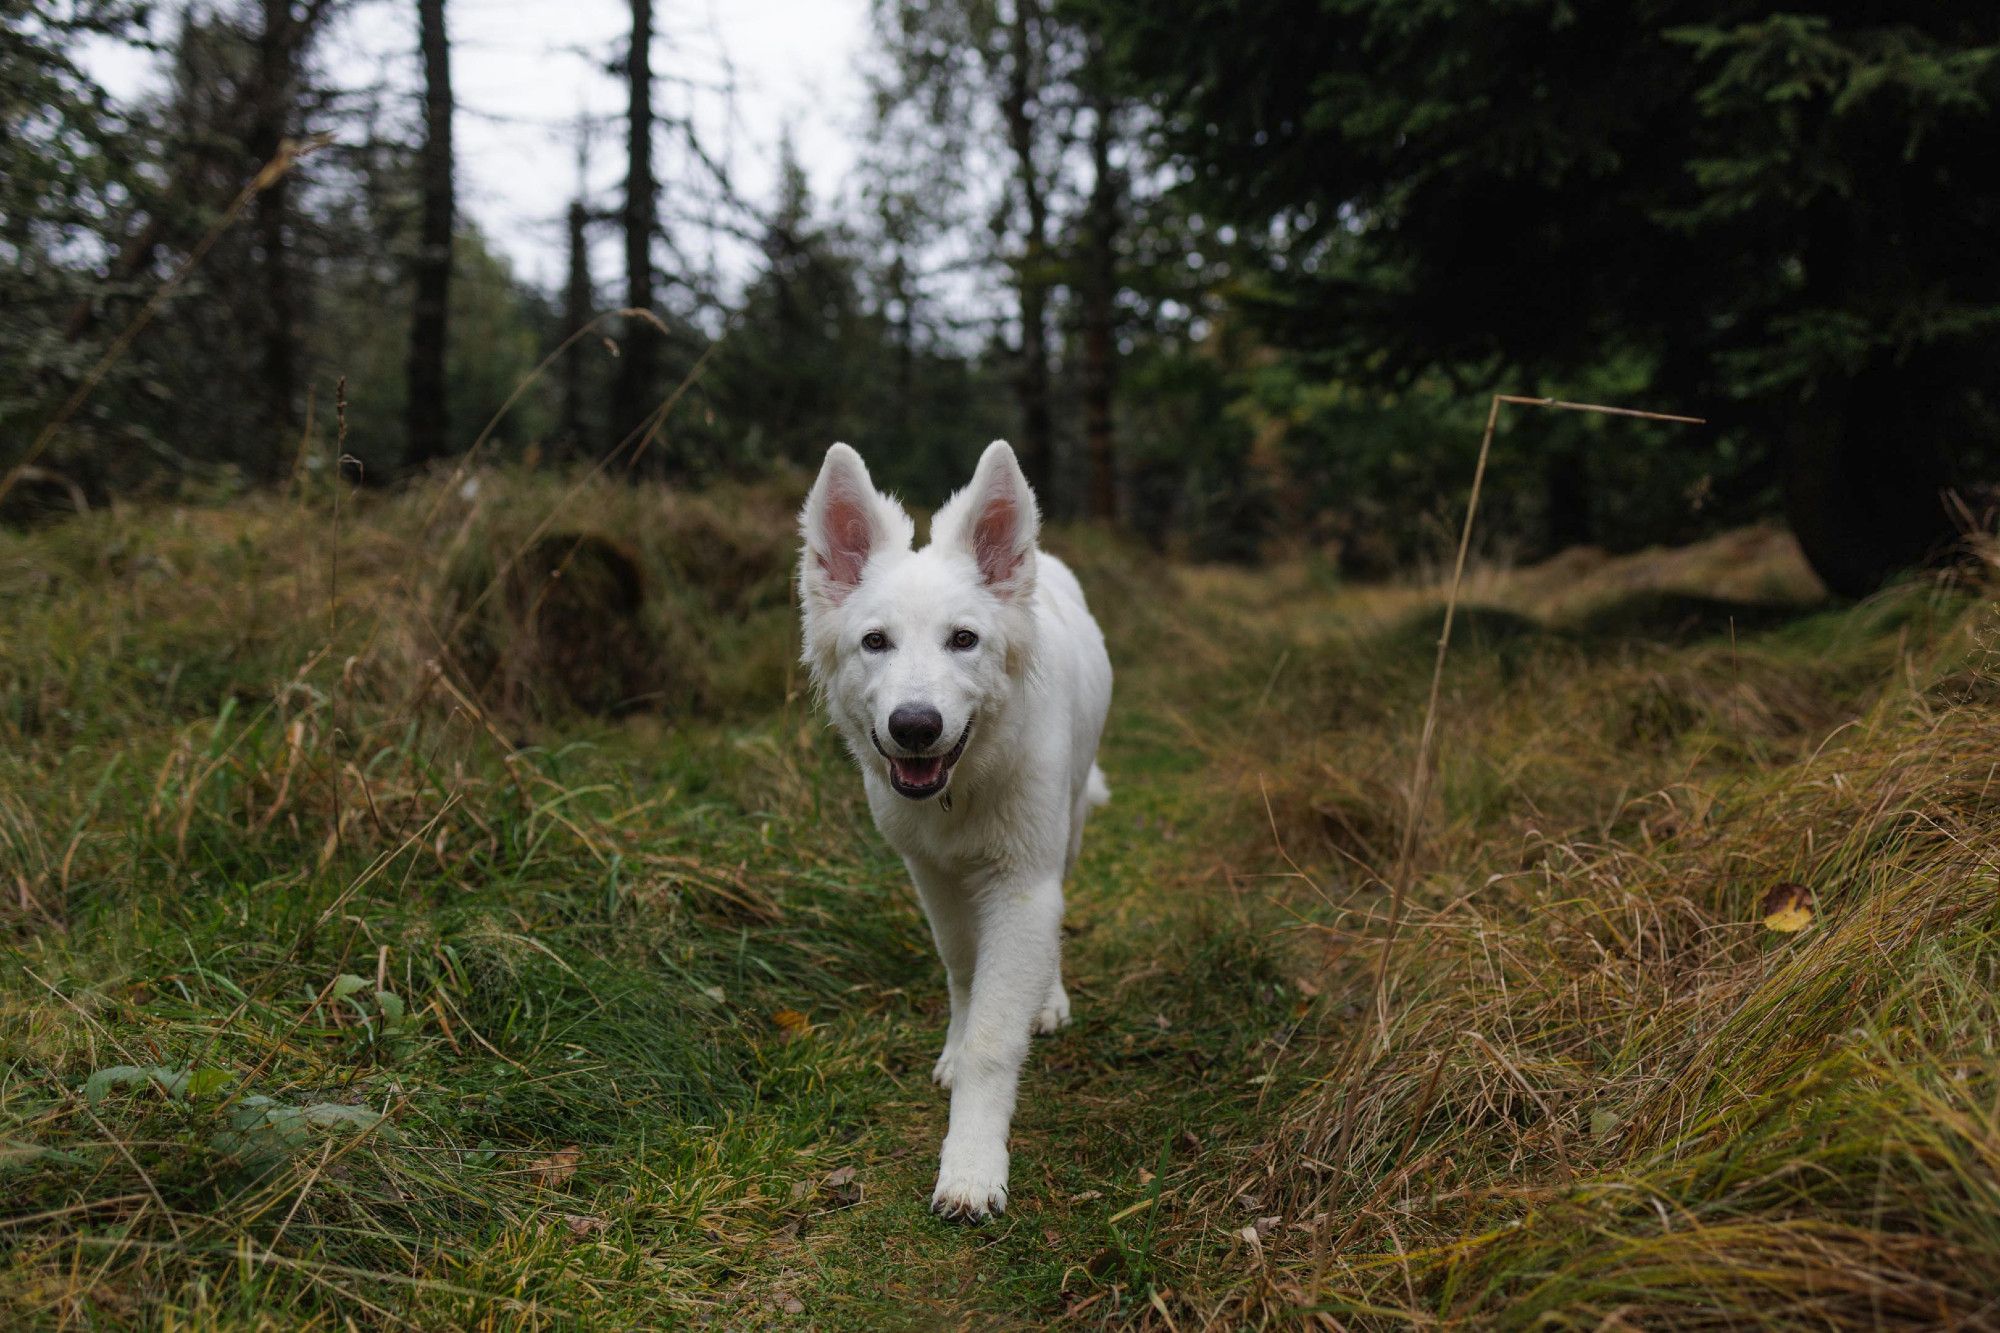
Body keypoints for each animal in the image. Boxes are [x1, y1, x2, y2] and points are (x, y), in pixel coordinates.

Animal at [796, 436, 1112, 1216]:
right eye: (875, 641)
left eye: (963, 639)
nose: (915, 726)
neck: (962, 786)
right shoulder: (931, 873)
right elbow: (965, 971)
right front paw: (954, 1048)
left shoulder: (1023, 884)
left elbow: (997, 1037)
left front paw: (971, 1167)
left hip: (1066, 829)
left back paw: (1048, 999)